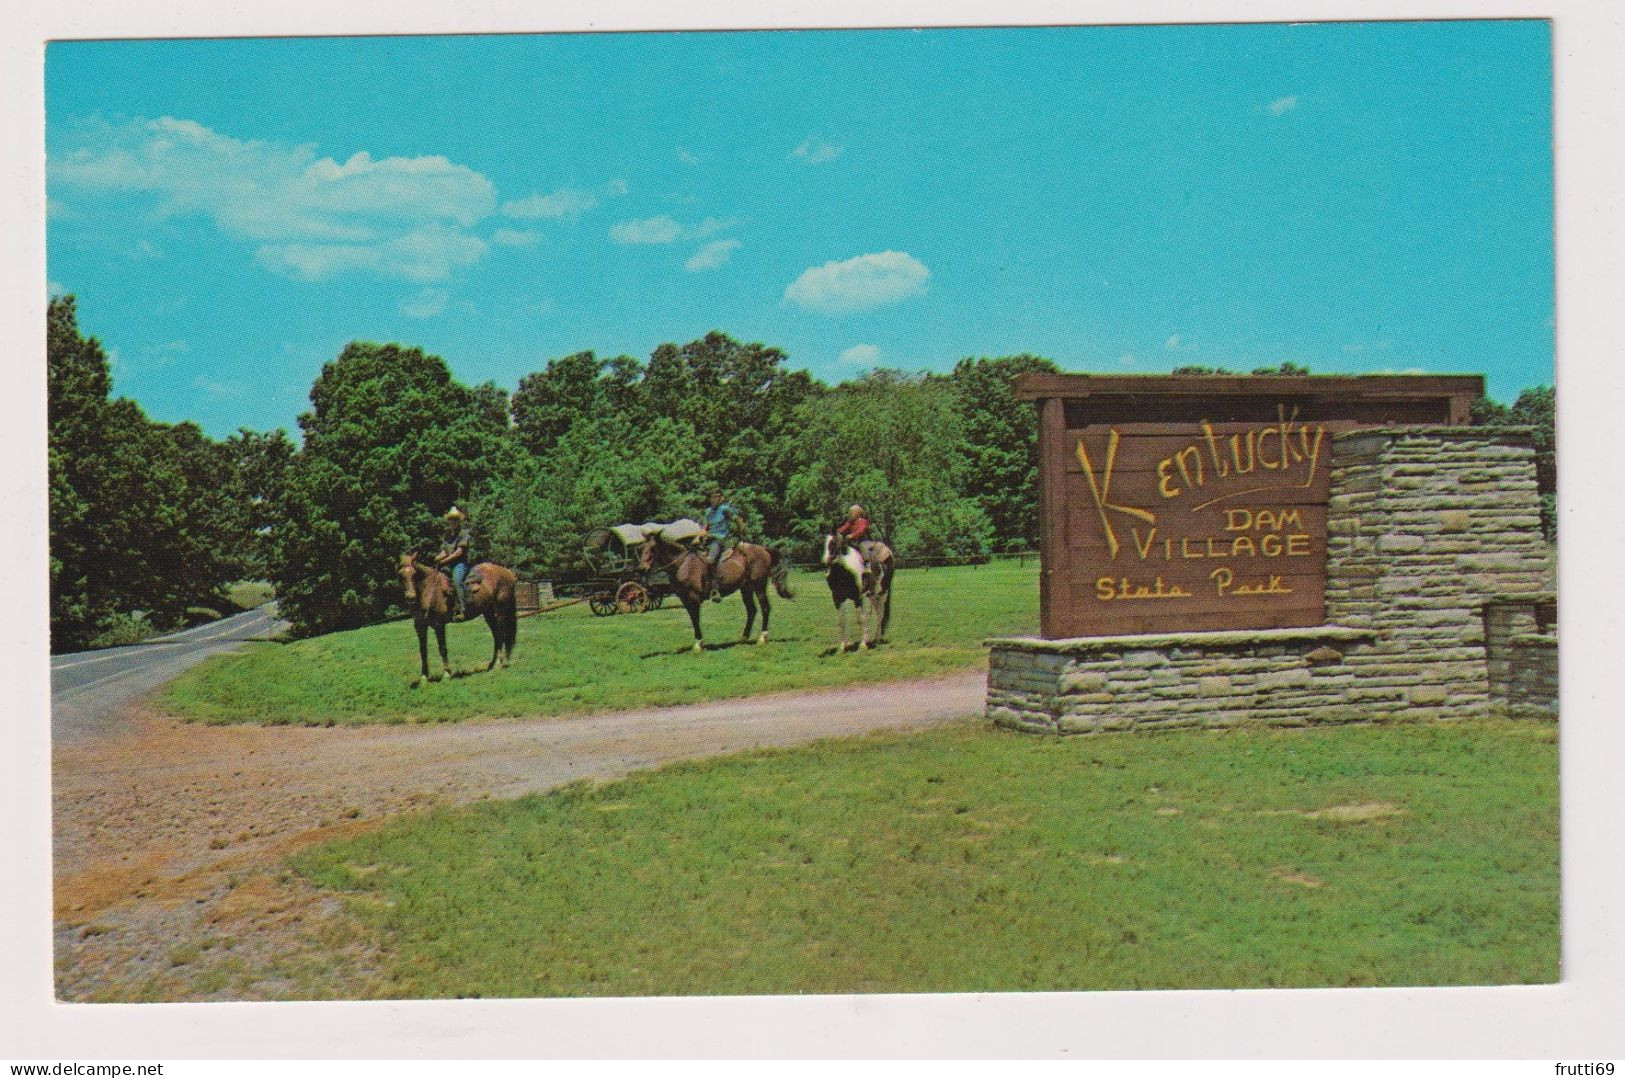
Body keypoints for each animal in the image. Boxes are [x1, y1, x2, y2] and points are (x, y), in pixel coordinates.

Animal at [633, 530, 793, 653]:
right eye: (641, 548)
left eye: (653, 548)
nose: (641, 568)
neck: (683, 564)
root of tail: (764, 549)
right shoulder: (685, 599)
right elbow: (693, 619)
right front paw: (699, 643)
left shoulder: (694, 598)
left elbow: (696, 619)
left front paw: (698, 645)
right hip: (745, 588)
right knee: (752, 610)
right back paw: (743, 638)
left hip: (759, 586)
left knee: (765, 608)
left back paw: (762, 638)